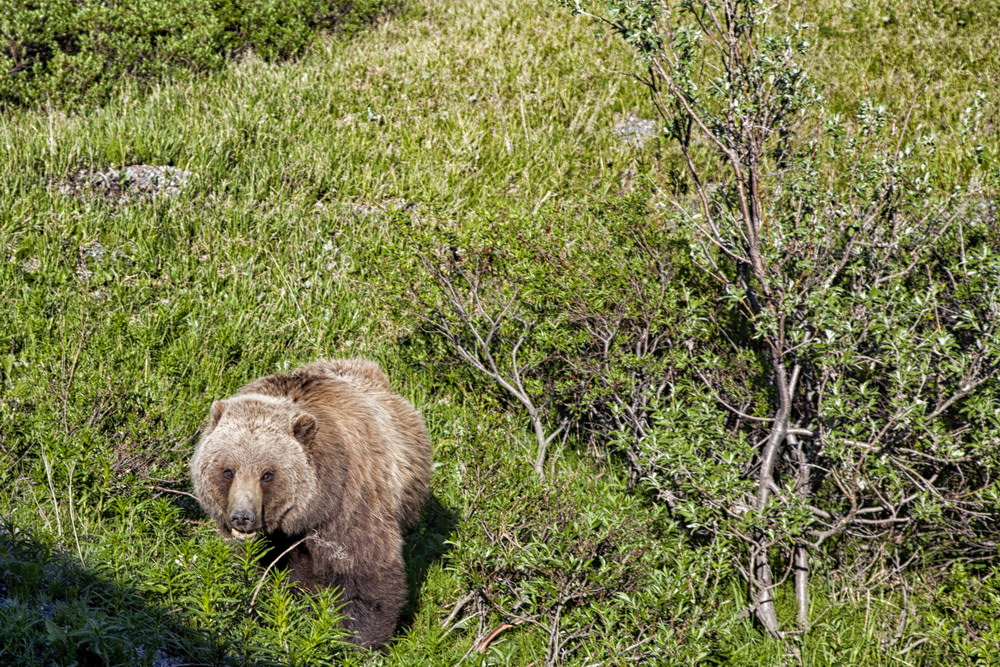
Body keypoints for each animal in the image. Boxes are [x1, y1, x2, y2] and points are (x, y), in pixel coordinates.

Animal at [190, 359, 432, 649]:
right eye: (228, 471)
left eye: (267, 474)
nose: (242, 517)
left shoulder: (349, 502)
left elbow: (364, 570)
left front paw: (359, 641)